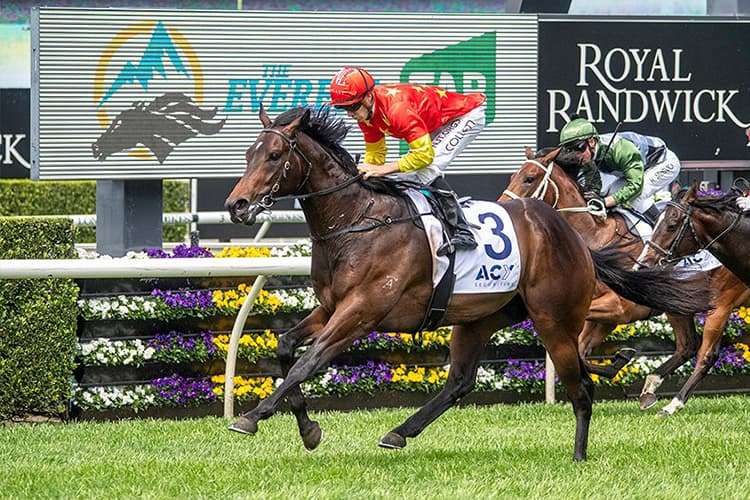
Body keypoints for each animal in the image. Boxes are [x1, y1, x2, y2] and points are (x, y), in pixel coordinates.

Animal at [223, 106, 710, 461]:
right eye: (247, 153)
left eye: (274, 156)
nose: (237, 205)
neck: (359, 221)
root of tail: (575, 241)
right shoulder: (330, 306)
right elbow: (286, 347)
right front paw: (308, 429)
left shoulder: (362, 310)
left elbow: (308, 362)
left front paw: (252, 416)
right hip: (479, 317)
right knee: (460, 381)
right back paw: (399, 432)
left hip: (553, 319)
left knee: (582, 384)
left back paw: (579, 454)